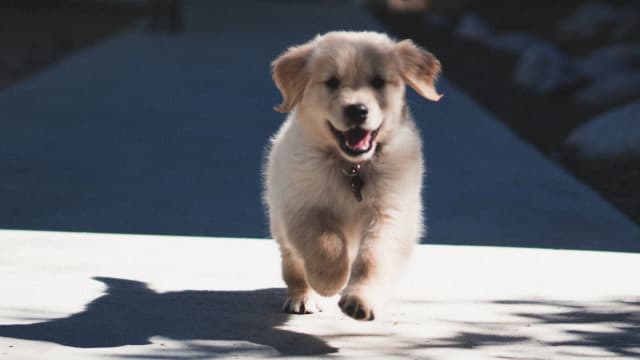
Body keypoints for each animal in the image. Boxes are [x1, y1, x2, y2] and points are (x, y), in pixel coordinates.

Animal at [264, 30, 440, 318]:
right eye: (332, 82)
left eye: (378, 81)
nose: (357, 110)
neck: (352, 166)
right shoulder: (302, 206)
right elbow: (326, 243)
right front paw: (329, 281)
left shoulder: (391, 211)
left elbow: (374, 258)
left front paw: (360, 300)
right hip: (279, 222)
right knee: (293, 265)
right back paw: (303, 296)